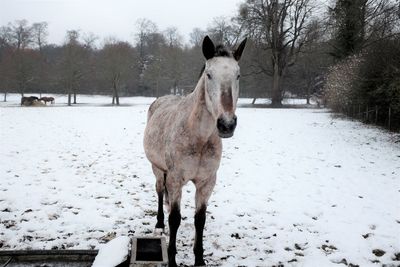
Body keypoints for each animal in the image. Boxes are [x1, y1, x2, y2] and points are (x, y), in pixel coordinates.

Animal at [142, 36, 245, 267]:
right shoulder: (175, 179)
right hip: (157, 169)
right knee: (160, 192)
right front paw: (172, 259)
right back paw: (159, 224)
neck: (199, 138)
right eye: (209, 74)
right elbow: (175, 219)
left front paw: (199, 258)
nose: (226, 124)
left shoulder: (207, 182)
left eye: (238, 75)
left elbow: (200, 219)